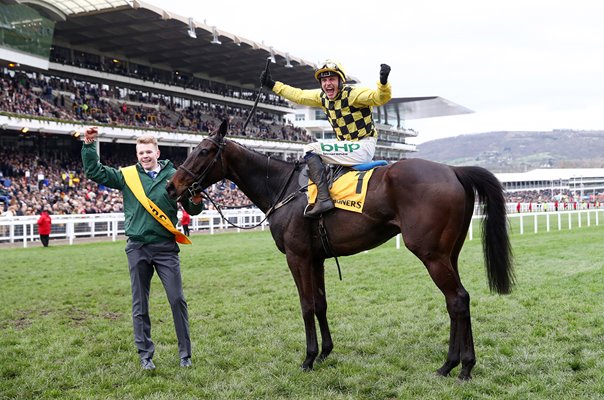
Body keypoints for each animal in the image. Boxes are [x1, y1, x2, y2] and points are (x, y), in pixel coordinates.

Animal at [166, 120, 516, 380]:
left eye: (204, 151)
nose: (172, 186)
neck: (283, 188)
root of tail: (453, 170)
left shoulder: (297, 257)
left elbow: (306, 305)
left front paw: (308, 358)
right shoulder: (316, 258)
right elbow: (321, 304)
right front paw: (325, 352)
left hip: (432, 255)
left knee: (457, 299)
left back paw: (460, 366)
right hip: (448, 254)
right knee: (456, 301)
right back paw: (454, 364)